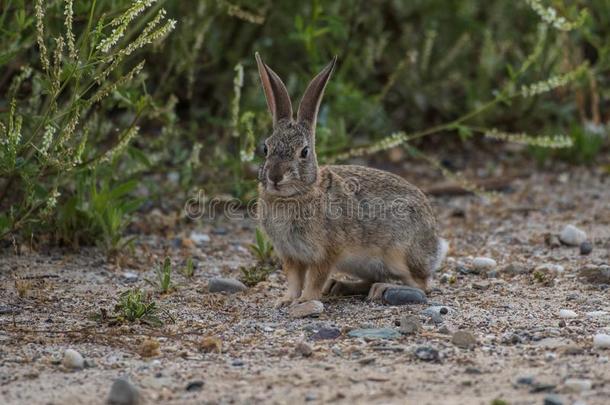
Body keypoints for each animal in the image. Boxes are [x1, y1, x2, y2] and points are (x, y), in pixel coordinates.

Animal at [252, 53, 446, 306]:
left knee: (421, 285)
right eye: (266, 148)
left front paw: (305, 300)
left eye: (304, 152)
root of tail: (435, 246)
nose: (275, 177)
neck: (300, 193)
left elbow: (315, 278)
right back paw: (341, 286)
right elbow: (294, 279)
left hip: (400, 255)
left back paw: (381, 289)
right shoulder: (291, 255)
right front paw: (286, 300)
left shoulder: (326, 252)